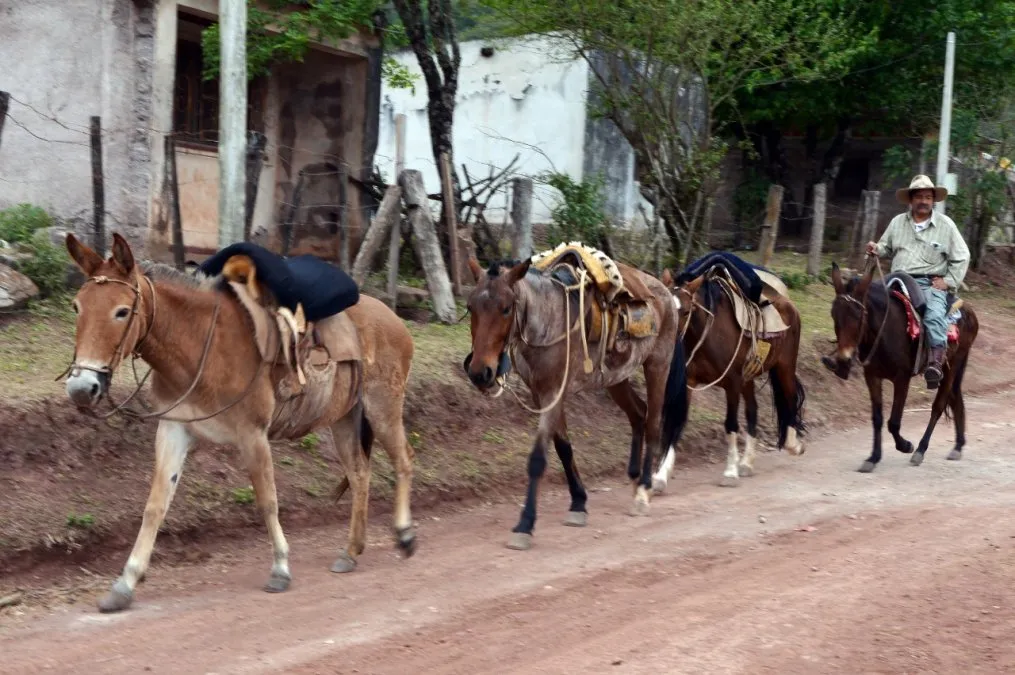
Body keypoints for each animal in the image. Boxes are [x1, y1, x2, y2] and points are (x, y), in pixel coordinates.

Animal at [63, 233, 417, 612]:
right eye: (77, 307)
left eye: (122, 311)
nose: (82, 388)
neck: (203, 345)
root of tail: (394, 318)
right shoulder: (173, 429)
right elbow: (155, 506)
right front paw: (125, 583)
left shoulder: (253, 434)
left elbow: (267, 500)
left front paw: (280, 568)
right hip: (344, 418)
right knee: (360, 473)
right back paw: (351, 551)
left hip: (383, 407)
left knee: (403, 460)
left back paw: (405, 535)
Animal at [463, 248, 685, 551]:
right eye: (470, 307)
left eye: (506, 308)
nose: (480, 373)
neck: (548, 320)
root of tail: (667, 295)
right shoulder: (542, 394)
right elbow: (563, 448)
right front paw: (579, 503)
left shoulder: (554, 391)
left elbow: (538, 458)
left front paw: (525, 524)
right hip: (615, 378)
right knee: (639, 414)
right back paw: (635, 476)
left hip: (657, 366)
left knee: (652, 423)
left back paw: (644, 489)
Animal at [650, 257, 807, 491]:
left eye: (686, 311)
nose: (668, 336)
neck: (707, 335)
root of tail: (789, 305)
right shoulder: (690, 382)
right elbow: (677, 423)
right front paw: (660, 476)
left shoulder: (732, 383)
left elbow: (730, 424)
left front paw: (730, 472)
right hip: (748, 377)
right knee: (753, 410)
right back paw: (747, 462)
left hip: (784, 367)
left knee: (789, 398)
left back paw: (792, 445)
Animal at [825, 260, 979, 471]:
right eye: (834, 315)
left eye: (859, 316)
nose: (842, 360)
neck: (883, 331)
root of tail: (968, 311)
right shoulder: (872, 376)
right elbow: (878, 418)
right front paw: (873, 457)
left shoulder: (902, 378)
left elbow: (894, 422)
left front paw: (905, 445)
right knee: (955, 399)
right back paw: (958, 445)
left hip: (953, 365)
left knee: (938, 406)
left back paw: (920, 450)